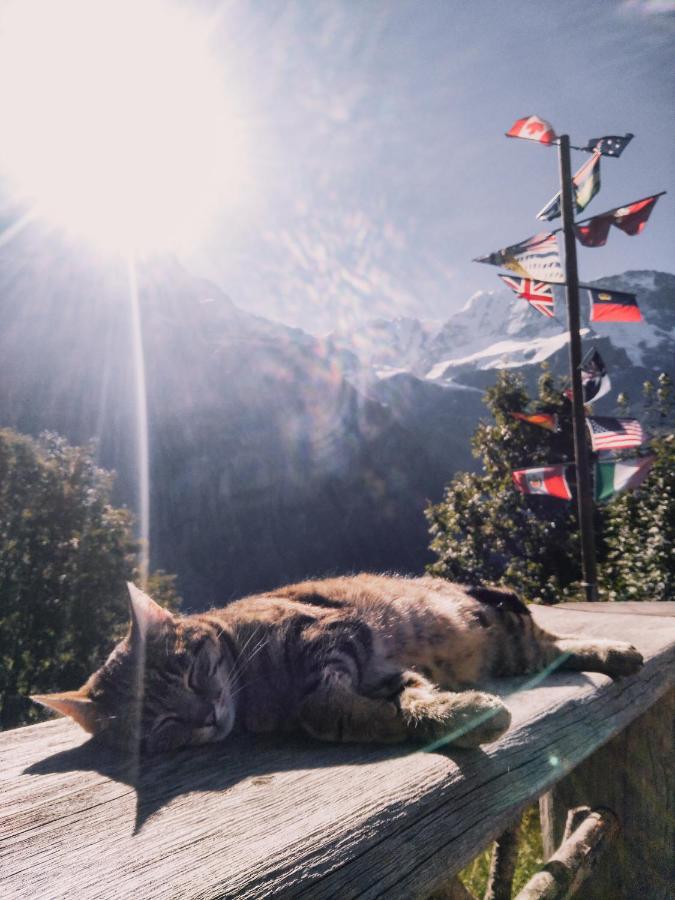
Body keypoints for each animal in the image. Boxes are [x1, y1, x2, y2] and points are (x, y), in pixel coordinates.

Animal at [31, 576, 644, 752]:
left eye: (189, 671)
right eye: (159, 724)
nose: (205, 715)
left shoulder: (334, 632)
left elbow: (321, 707)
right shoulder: (386, 671)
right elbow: (380, 706)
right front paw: (452, 716)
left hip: (505, 628)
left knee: (556, 640)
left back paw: (617, 650)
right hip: (514, 649)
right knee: (554, 649)